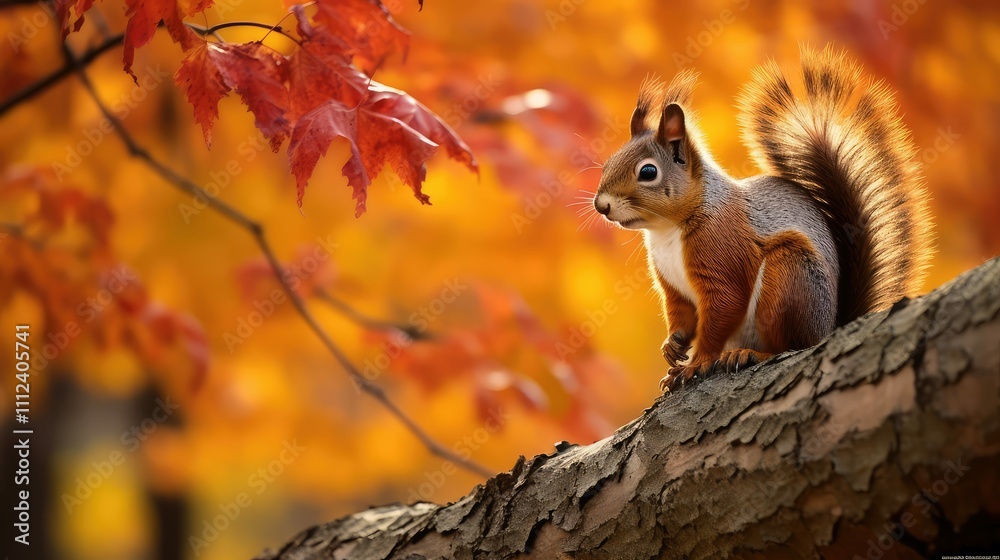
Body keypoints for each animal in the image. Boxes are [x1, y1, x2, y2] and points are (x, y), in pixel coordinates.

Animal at [592, 46, 933, 392]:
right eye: (609, 162)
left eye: (648, 172)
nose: (600, 205)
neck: (668, 230)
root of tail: (829, 327)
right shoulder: (674, 288)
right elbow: (683, 318)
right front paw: (672, 347)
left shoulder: (723, 253)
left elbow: (723, 310)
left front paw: (696, 364)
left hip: (789, 277)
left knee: (789, 345)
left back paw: (749, 354)